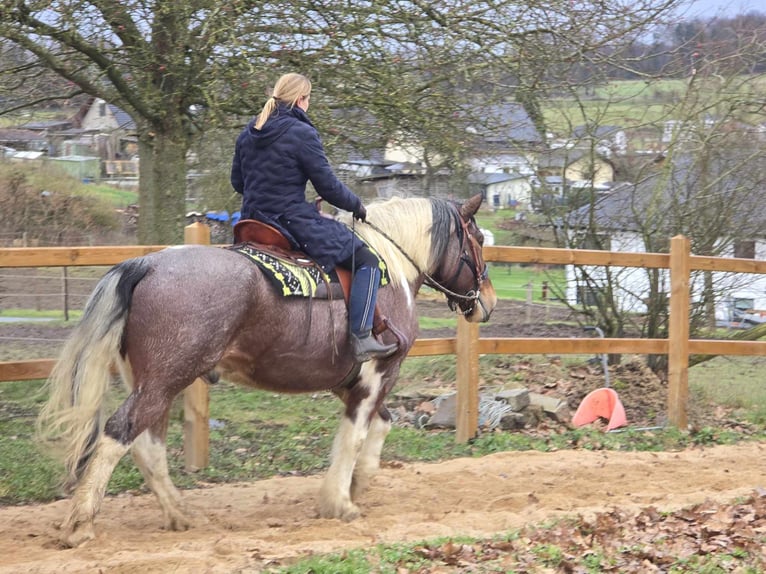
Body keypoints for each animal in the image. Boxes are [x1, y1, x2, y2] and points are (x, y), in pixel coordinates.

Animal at [37, 194, 498, 548]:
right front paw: (340, 502)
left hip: (154, 384)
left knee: (146, 445)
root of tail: (147, 264)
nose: (488, 301)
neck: (390, 267)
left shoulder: (347, 381)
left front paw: (356, 485)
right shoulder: (378, 372)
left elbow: (378, 425)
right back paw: (80, 525)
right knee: (121, 433)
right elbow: (356, 434)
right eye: (477, 239)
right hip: (164, 381)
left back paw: (180, 514)